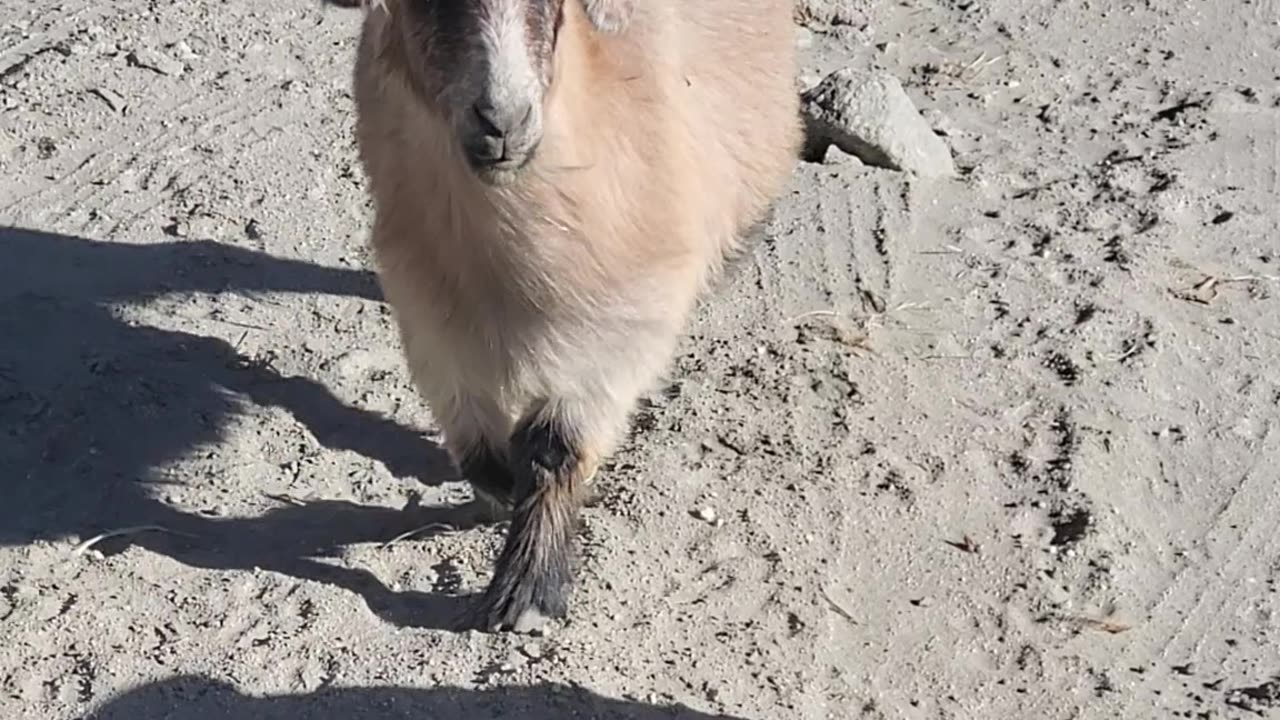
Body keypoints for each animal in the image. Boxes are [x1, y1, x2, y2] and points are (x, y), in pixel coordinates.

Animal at [335, 0, 803, 627]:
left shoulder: (626, 313)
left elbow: (553, 447)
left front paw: (527, 590)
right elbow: (473, 435)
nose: (502, 122)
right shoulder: (424, 304)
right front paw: (496, 494)